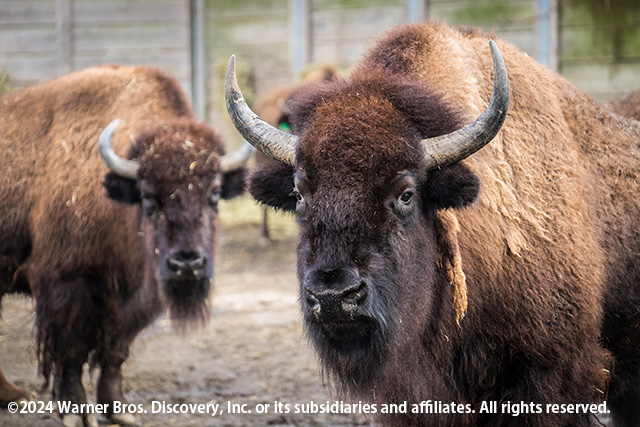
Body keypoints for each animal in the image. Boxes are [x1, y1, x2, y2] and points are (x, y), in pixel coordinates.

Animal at [0, 65, 250, 426]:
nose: (187, 263)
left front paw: (119, 410)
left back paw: (13, 396)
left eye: (214, 193)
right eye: (146, 197)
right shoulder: (66, 283)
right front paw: (76, 413)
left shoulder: (131, 300)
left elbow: (115, 351)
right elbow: (72, 353)